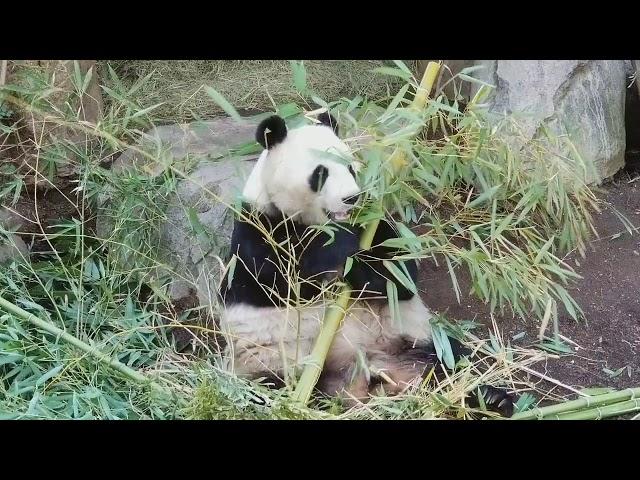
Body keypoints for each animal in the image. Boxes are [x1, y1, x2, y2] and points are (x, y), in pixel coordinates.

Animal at [218, 112, 512, 416]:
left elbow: (399, 278)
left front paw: (361, 265)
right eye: (320, 173)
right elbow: (280, 282)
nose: (351, 197)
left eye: (350, 168)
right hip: (275, 363)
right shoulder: (258, 228)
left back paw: (489, 397)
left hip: (414, 338)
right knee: (274, 387)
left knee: (452, 360)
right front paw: (338, 247)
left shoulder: (375, 224)